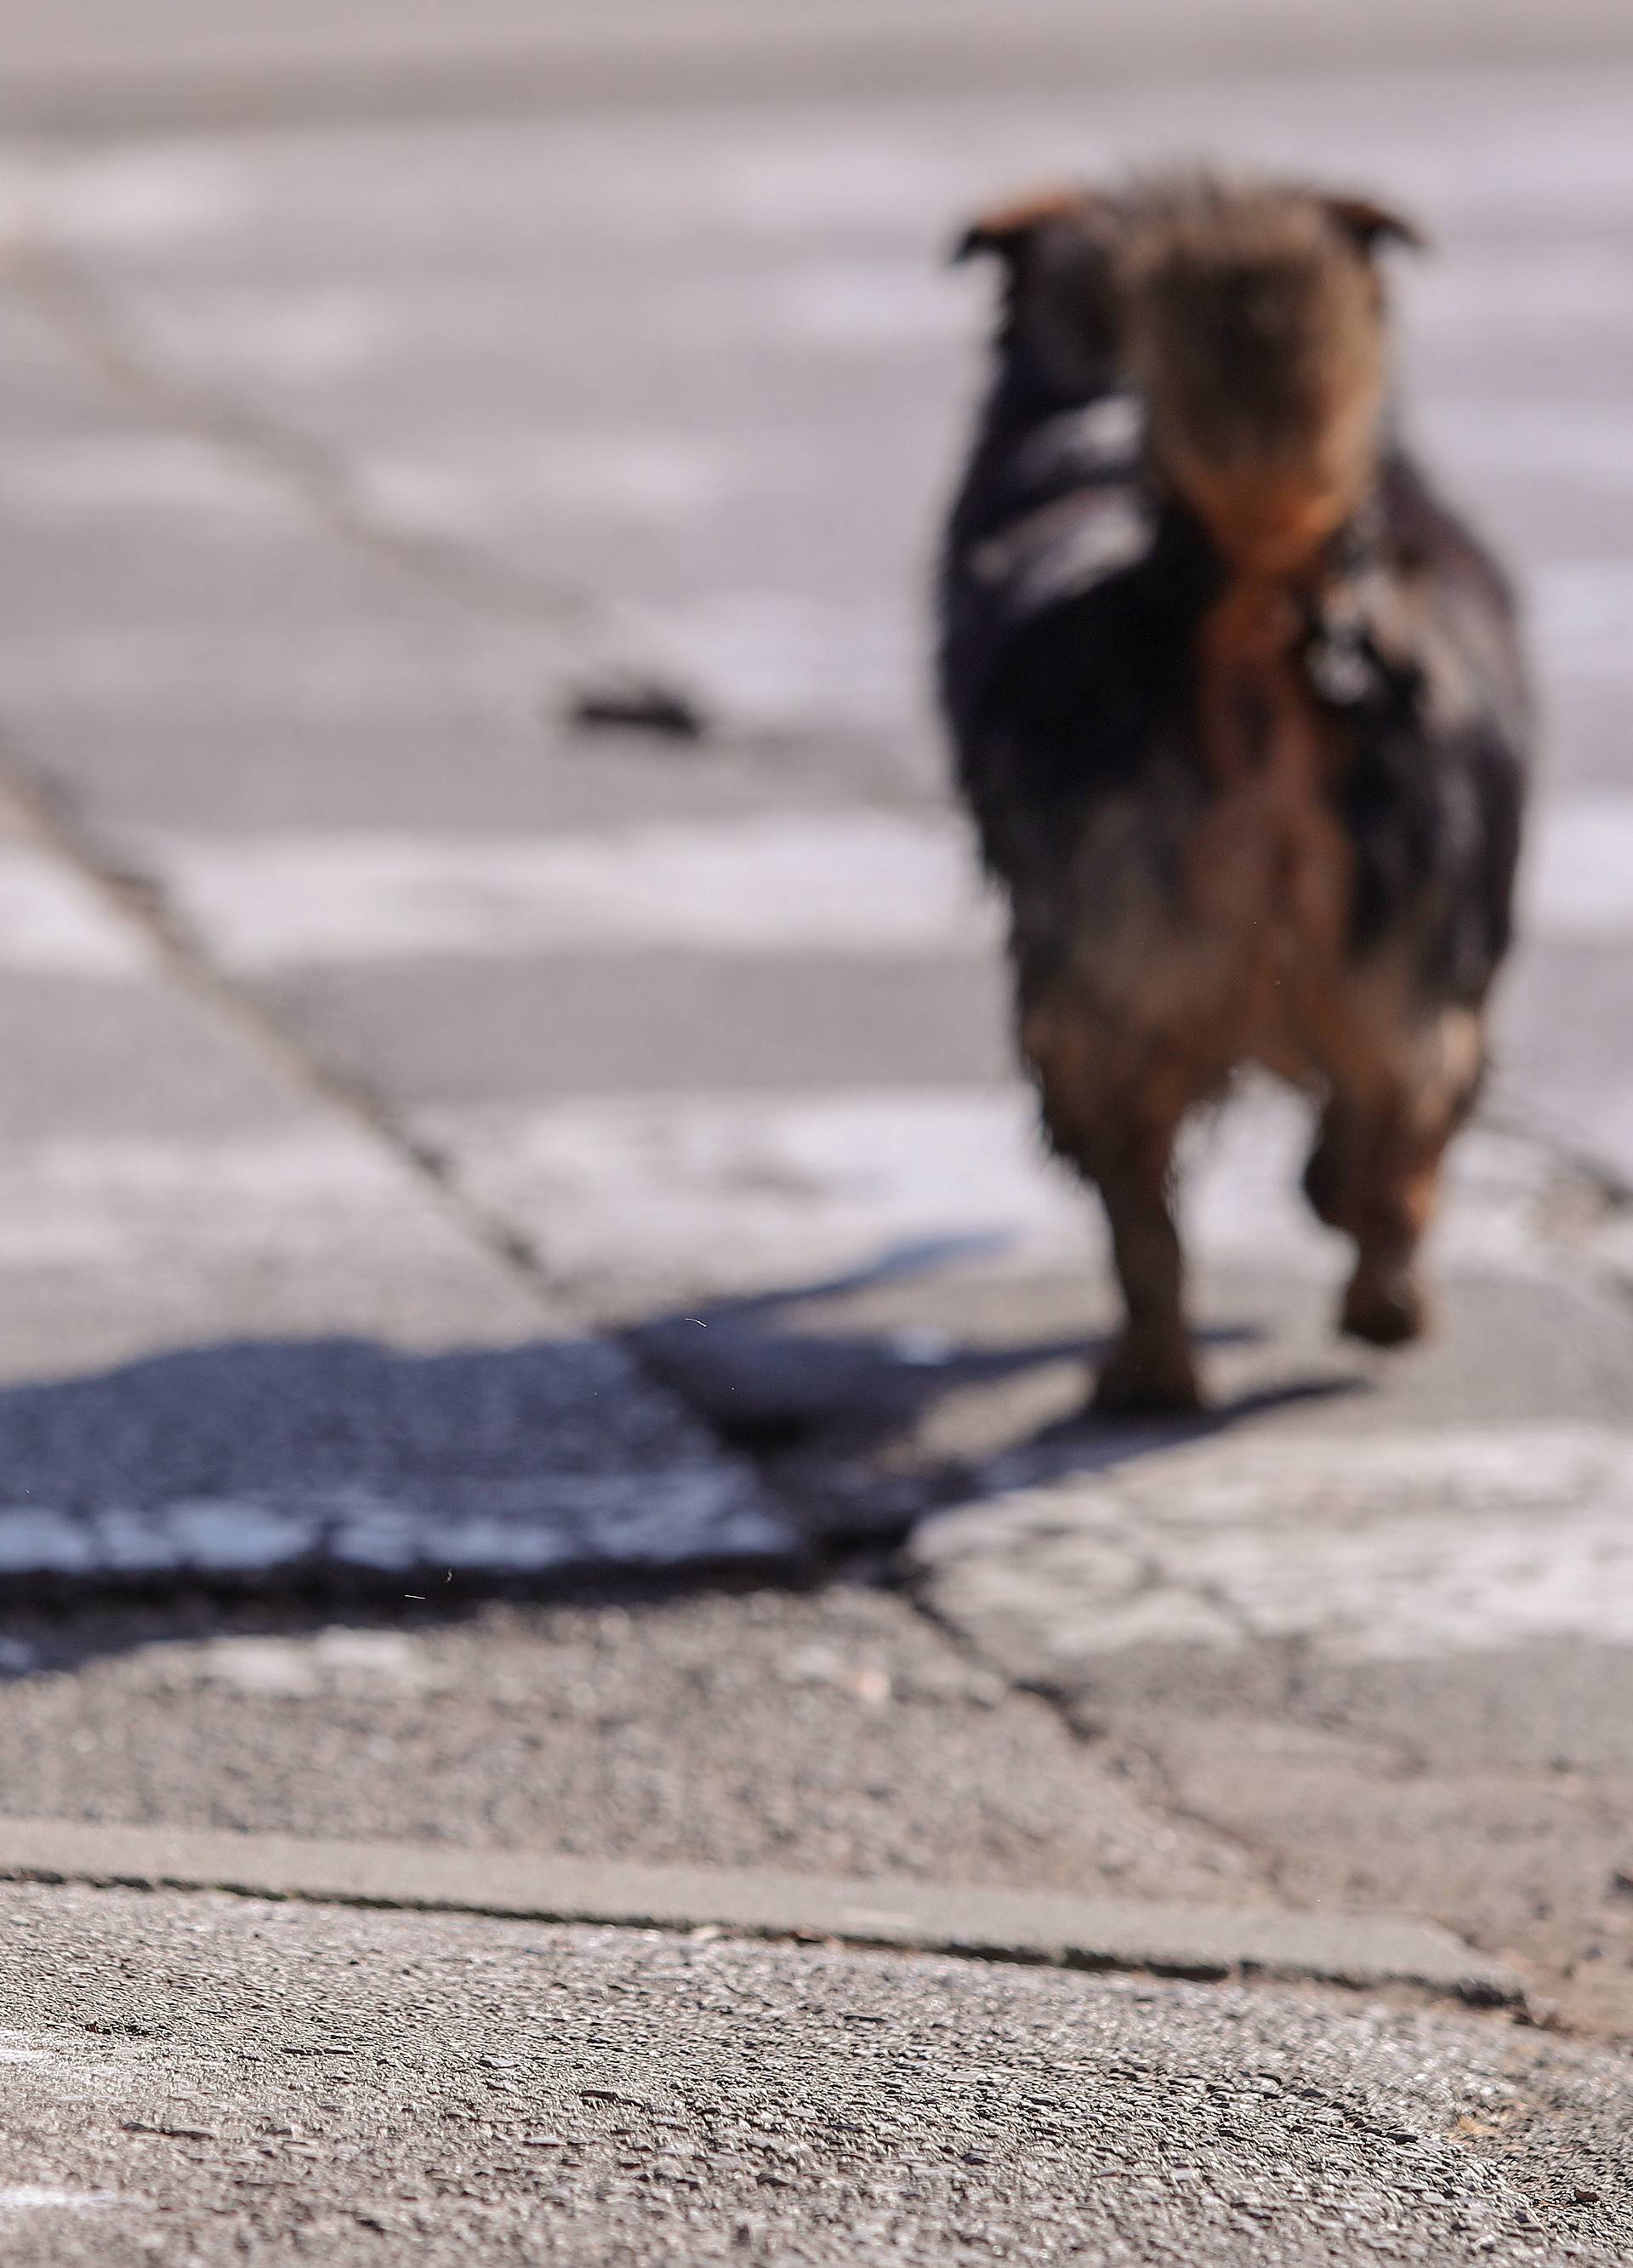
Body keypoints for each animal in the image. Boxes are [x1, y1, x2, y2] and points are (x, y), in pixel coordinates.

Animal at [943, 176, 1533, 1405]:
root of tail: (1253, 598)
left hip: (1106, 999)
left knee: (1156, 1211)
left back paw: (1163, 1364)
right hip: (1392, 971)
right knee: (1398, 1132)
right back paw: (1365, 1304)